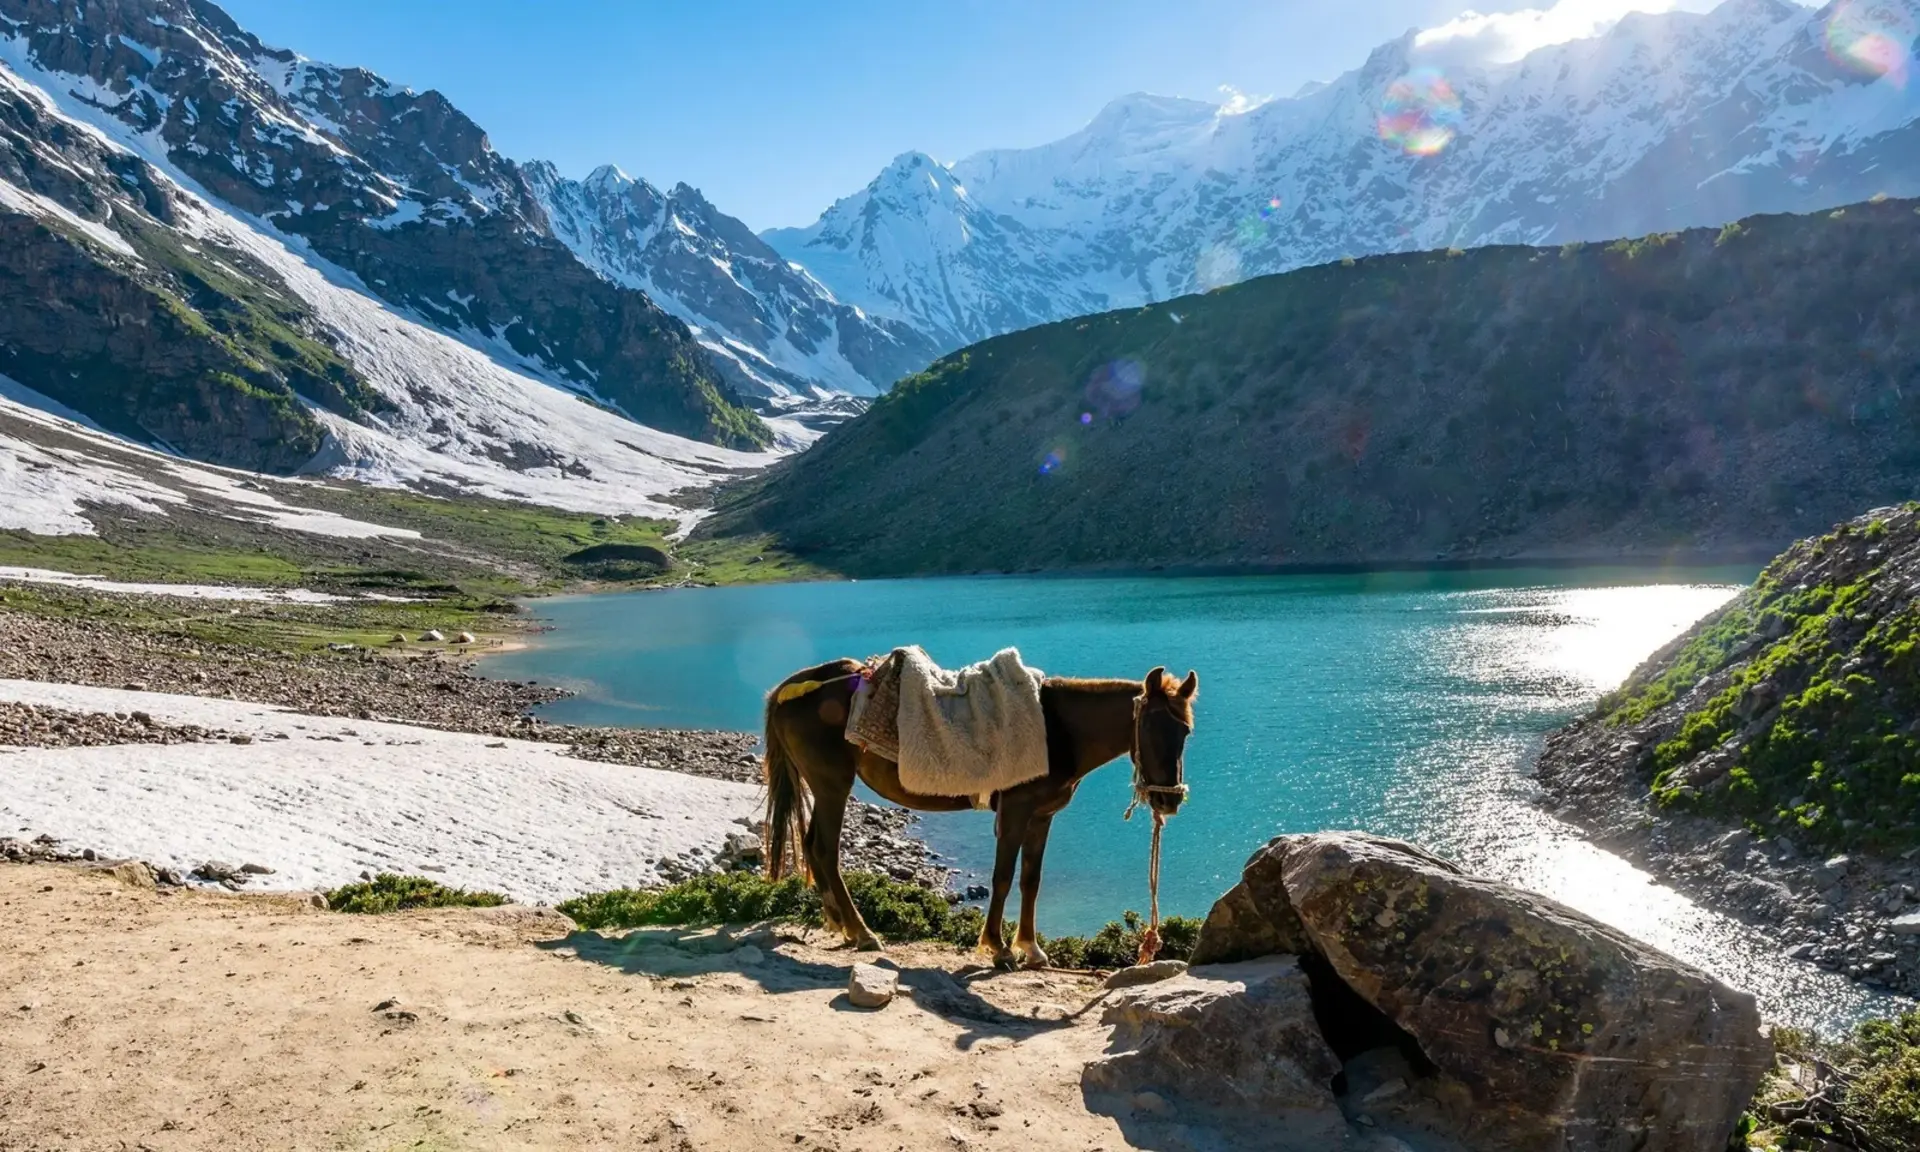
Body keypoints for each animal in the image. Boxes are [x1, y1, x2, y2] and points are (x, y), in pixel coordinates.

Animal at [762, 659, 1197, 968]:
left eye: (1185, 732)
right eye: (1151, 726)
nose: (1169, 801)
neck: (1058, 731)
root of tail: (786, 689)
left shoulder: (1043, 816)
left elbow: (1031, 880)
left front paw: (1031, 949)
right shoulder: (1016, 811)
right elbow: (1003, 876)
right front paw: (998, 948)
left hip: (824, 787)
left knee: (812, 845)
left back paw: (840, 924)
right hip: (832, 786)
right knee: (826, 852)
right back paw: (862, 931)